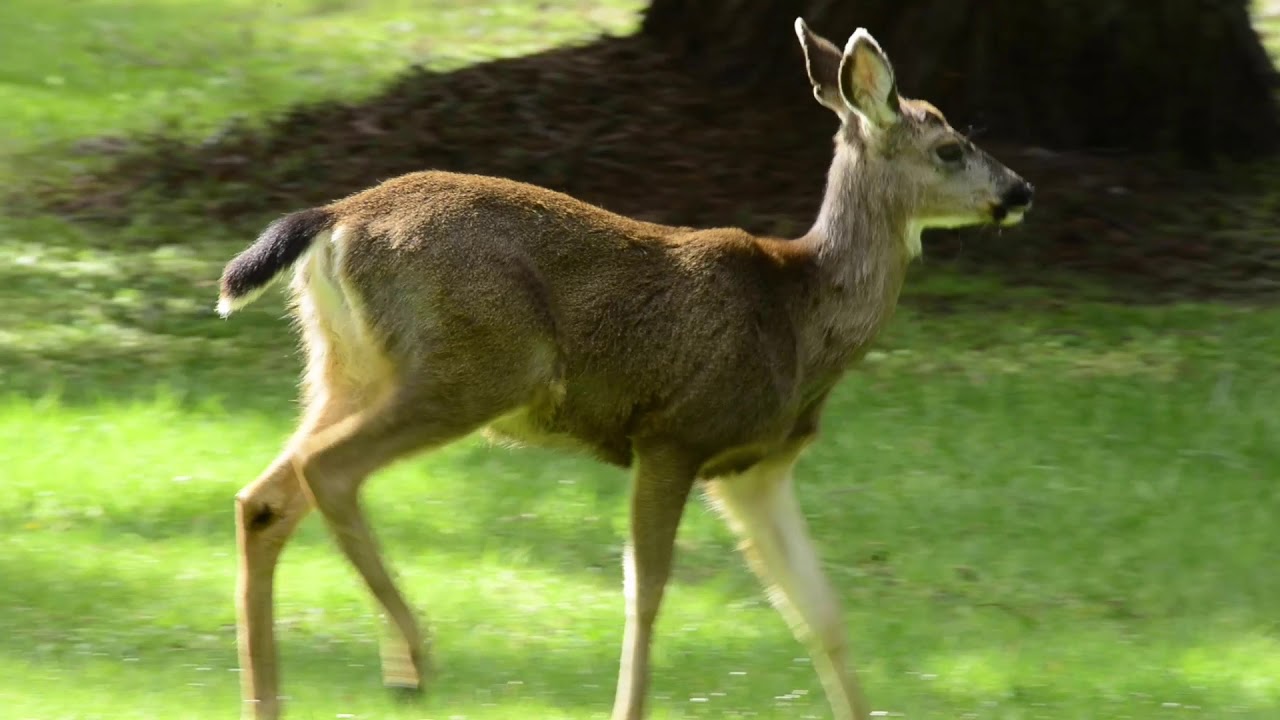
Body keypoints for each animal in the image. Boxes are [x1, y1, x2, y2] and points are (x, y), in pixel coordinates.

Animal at [217, 18, 1032, 720]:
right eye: (952, 147)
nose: (1021, 191)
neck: (802, 316)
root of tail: (334, 220)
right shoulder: (675, 433)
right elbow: (648, 591)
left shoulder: (755, 467)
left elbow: (819, 611)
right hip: (473, 367)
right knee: (326, 470)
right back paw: (413, 662)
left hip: (345, 368)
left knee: (265, 498)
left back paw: (272, 699)